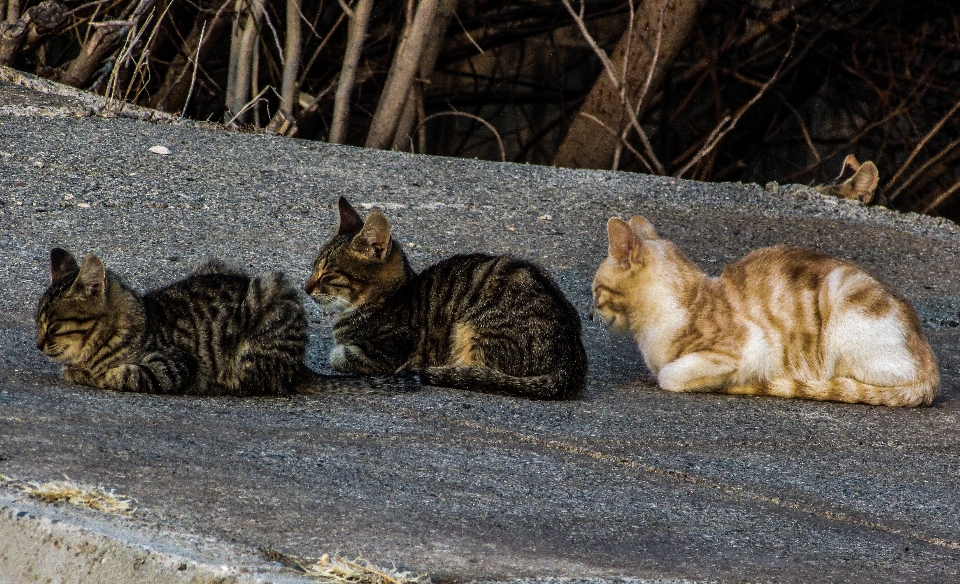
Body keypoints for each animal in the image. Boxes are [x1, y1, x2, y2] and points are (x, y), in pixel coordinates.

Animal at [36, 246, 308, 396]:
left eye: (53, 325)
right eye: (38, 323)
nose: (38, 344)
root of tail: (301, 368)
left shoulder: (174, 366)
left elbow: (122, 375)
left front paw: (94, 374)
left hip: (269, 293)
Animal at [304, 198, 588, 400]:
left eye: (327, 274)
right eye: (313, 267)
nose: (306, 288)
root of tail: (572, 361)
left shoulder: (383, 354)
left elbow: (338, 355)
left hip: (476, 331)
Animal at [588, 214, 940, 406]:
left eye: (594, 292)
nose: (590, 316)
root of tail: (931, 366)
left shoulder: (753, 346)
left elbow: (669, 375)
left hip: (842, 307)